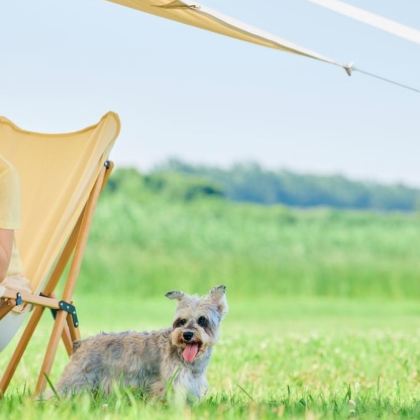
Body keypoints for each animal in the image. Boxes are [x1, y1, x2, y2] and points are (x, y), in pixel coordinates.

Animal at [55, 286, 228, 400]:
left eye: (202, 320)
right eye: (181, 321)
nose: (187, 334)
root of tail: (82, 343)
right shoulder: (171, 383)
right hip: (75, 381)